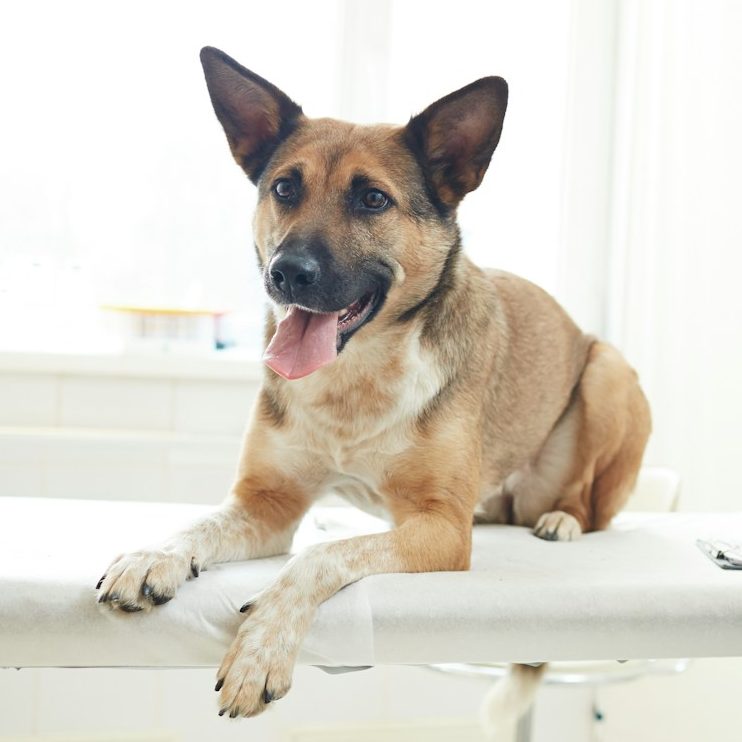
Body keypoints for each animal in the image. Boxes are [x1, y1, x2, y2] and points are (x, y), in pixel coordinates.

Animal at [96, 46, 651, 723]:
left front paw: (262, 650)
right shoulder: (267, 505)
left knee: (592, 507)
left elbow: (320, 555)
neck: (354, 374)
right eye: (285, 187)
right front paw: (153, 555)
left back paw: (562, 521)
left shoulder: (443, 530)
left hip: (607, 374)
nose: (286, 273)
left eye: (372, 199)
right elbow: (200, 525)